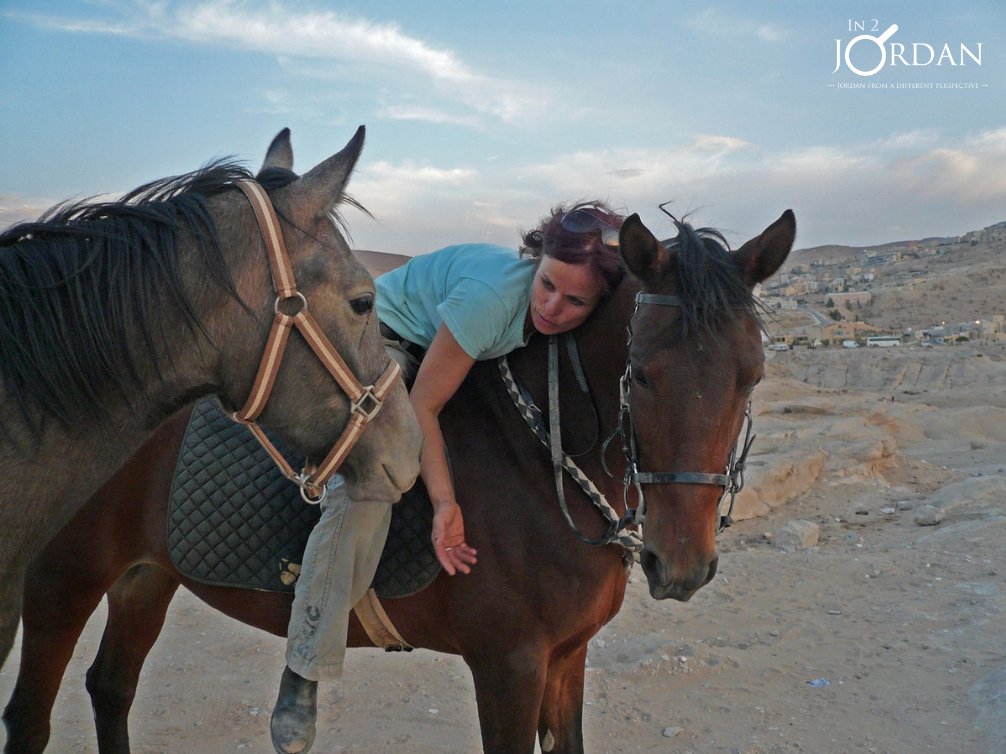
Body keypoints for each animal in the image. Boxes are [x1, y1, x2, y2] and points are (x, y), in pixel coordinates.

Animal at [3, 208, 796, 754]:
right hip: (62, 582)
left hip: (145, 575)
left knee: (112, 687)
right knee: (31, 719)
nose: (681, 565)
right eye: (641, 374)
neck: (539, 463)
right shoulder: (509, 666)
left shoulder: (568, 659)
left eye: (752, 374)